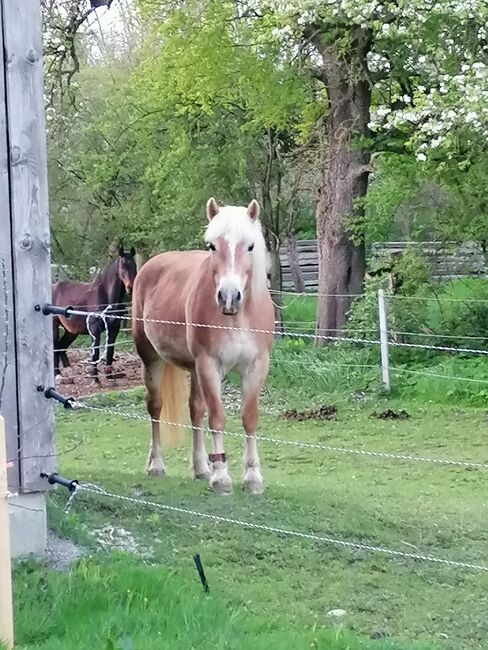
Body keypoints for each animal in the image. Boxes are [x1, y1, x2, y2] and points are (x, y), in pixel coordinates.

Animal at [52, 247, 137, 380]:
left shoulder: (114, 329)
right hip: (55, 325)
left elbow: (110, 352)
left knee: (61, 346)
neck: (106, 297)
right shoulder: (94, 329)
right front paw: (95, 379)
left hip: (71, 331)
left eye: (134, 265)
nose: (130, 287)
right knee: (55, 347)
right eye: (122, 265)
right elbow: (95, 353)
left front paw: (110, 378)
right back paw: (58, 374)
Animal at [132, 196, 274, 492]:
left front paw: (253, 477)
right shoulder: (210, 365)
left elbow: (249, 418)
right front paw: (221, 477)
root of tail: (151, 265)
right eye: (212, 246)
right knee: (155, 407)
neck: (237, 318)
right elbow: (217, 417)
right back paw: (156, 464)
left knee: (195, 410)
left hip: (194, 369)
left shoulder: (255, 366)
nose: (229, 297)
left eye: (250, 245)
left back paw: (200, 468)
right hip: (151, 359)